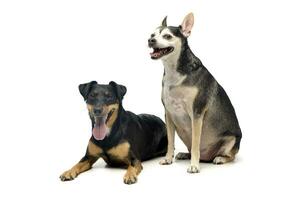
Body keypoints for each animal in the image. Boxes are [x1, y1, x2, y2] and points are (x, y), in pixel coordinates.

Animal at [149, 12, 243, 173]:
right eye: (152, 34)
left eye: (167, 36)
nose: (150, 40)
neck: (174, 71)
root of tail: (207, 157)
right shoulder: (168, 114)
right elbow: (170, 141)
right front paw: (168, 159)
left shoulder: (196, 114)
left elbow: (195, 144)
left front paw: (194, 166)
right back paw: (184, 155)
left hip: (232, 140)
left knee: (231, 156)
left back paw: (219, 158)